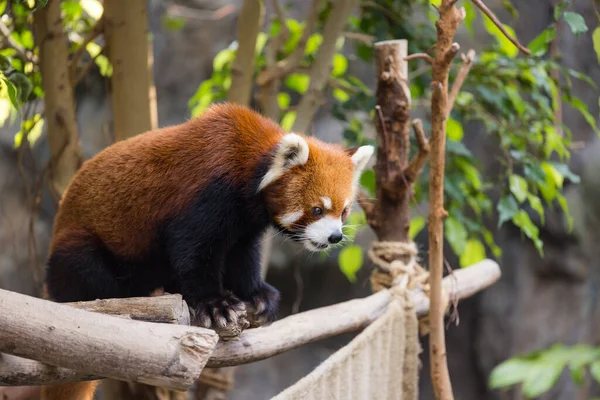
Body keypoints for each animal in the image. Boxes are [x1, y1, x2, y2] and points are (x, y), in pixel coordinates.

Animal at [41, 104, 370, 400]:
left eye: (343, 212)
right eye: (317, 210)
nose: (334, 236)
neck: (248, 164)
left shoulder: (244, 223)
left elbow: (242, 256)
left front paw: (257, 294)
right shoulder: (206, 192)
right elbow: (194, 251)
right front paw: (216, 305)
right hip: (79, 246)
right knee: (87, 270)